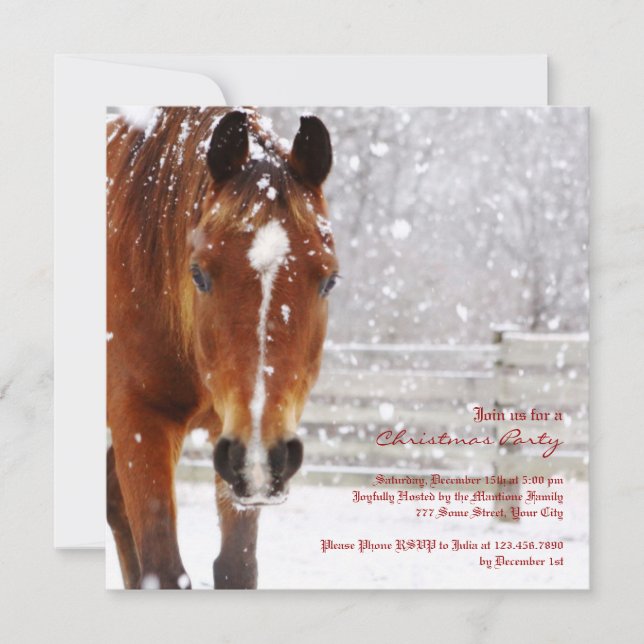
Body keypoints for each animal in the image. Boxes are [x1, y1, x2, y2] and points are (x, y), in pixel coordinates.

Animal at [106, 107, 337, 589]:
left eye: (329, 279)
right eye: (199, 274)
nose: (261, 459)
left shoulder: (232, 439)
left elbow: (237, 567)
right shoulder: (138, 419)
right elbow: (164, 570)